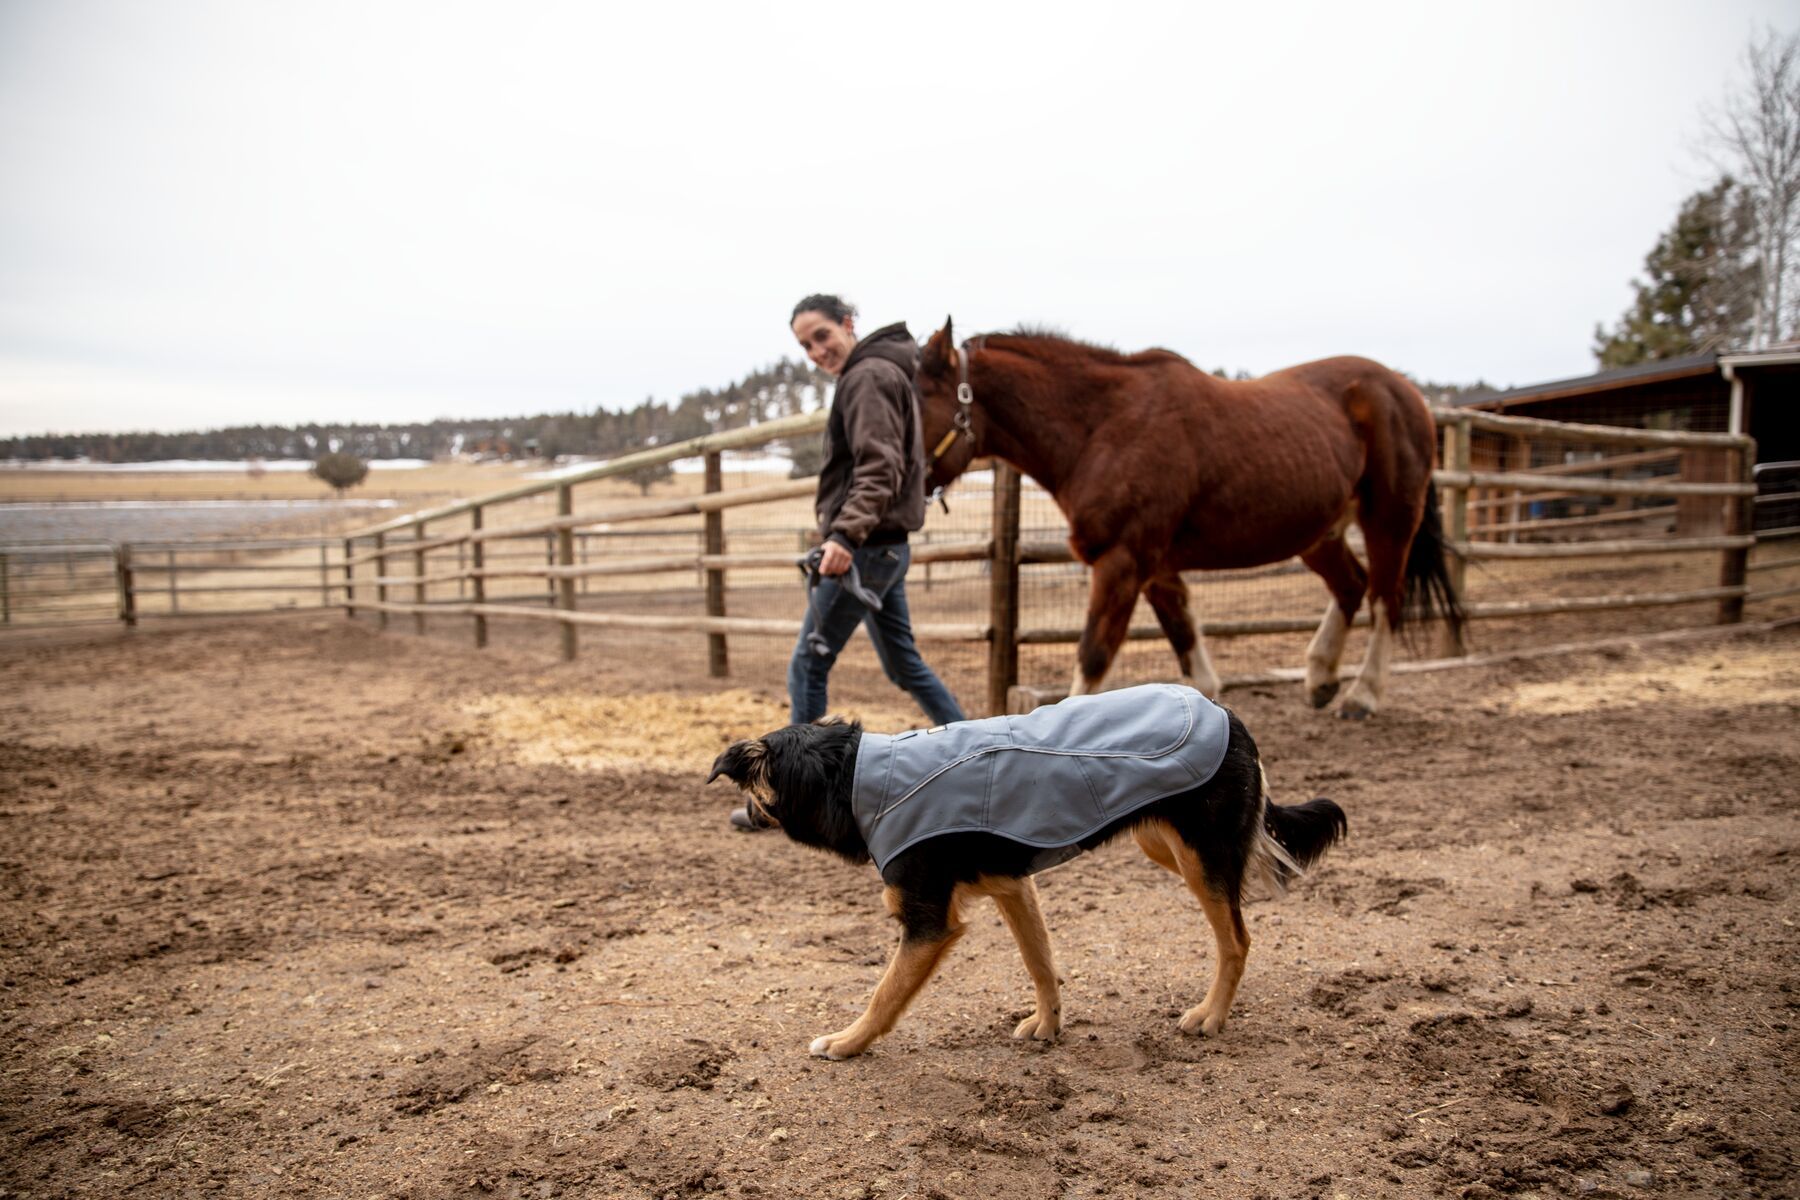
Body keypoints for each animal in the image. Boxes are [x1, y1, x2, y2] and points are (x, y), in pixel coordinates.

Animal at [709, 683, 1346, 1057]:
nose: (742, 814)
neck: (857, 777)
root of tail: (1227, 713)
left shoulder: (928, 923)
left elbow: (885, 994)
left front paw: (847, 1042)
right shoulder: (1014, 887)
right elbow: (1041, 964)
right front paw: (1049, 1025)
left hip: (1202, 858)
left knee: (1236, 939)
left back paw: (1210, 1015)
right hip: (1162, 845)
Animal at [914, 318, 1461, 719]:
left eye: (915, 400)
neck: (1103, 426)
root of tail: (1409, 393)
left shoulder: (1124, 560)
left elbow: (1094, 653)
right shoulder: (1155, 567)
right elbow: (1183, 637)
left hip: (1390, 519)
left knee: (1385, 599)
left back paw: (1361, 695)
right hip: (1319, 534)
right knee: (1351, 587)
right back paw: (1320, 677)